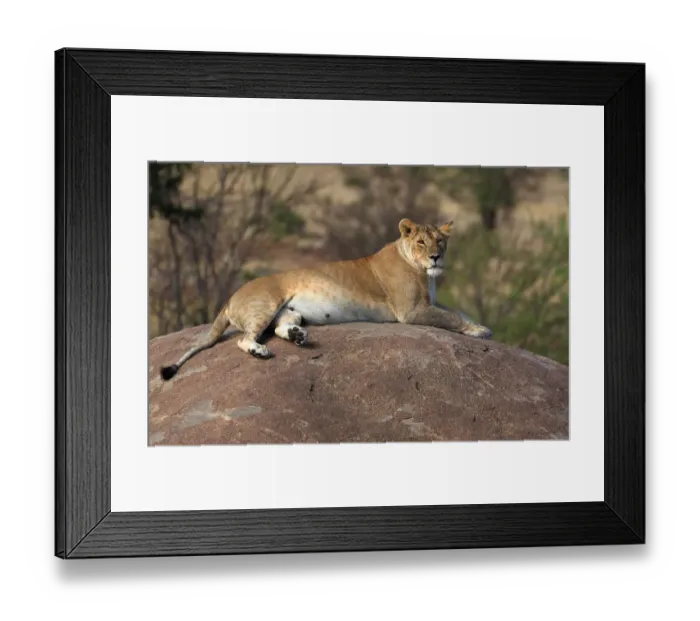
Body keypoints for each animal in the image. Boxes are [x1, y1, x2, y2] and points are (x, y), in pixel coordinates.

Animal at [160, 218, 492, 380]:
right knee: (245, 339)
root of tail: (230, 297)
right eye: (422, 242)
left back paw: (298, 336)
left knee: (280, 327)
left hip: (288, 311)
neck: (424, 273)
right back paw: (260, 351)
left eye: (441, 241)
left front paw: (481, 326)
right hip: (264, 304)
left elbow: (458, 310)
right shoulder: (410, 311)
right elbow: (451, 317)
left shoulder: (426, 304)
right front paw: (479, 331)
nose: (436, 257)